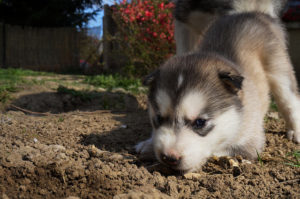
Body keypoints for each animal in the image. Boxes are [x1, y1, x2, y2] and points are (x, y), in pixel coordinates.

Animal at [137, 0, 300, 173]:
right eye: (158, 118)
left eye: (200, 122)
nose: (169, 157)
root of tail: (251, 12)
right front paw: (148, 143)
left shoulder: (251, 143)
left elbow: (217, 150)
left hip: (279, 70)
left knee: (289, 101)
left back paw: (296, 130)